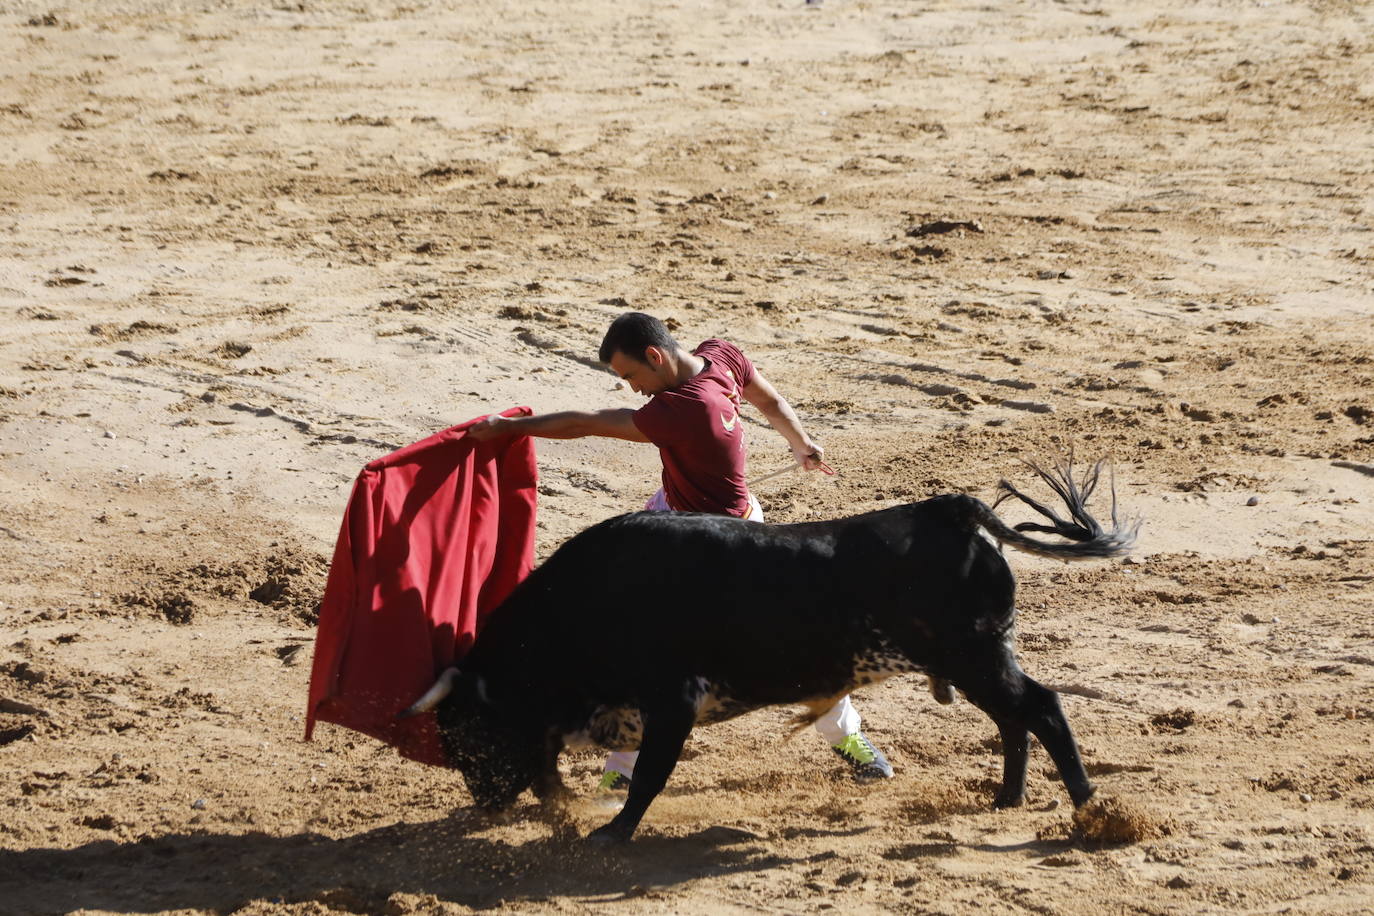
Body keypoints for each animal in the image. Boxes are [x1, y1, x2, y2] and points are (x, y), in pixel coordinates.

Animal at [401, 461, 1137, 840]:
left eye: (468, 733)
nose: (486, 805)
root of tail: (946, 510)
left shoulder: (673, 701)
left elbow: (649, 775)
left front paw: (612, 832)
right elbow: (566, 767)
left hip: (975, 658)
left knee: (1041, 708)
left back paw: (1086, 808)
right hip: (978, 661)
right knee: (1015, 717)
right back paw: (1007, 799)